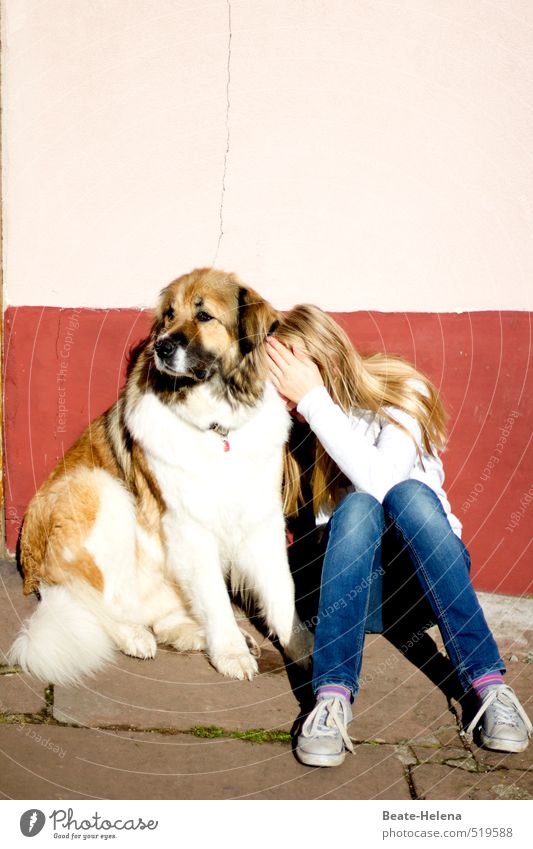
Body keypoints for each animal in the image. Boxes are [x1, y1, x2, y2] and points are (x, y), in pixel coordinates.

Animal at [8, 268, 312, 684]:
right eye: (169, 315)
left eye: (204, 316)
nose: (162, 347)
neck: (218, 425)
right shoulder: (189, 527)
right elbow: (216, 598)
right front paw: (231, 653)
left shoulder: (261, 520)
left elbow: (283, 596)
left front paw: (311, 655)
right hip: (98, 489)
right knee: (99, 602)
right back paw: (136, 635)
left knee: (163, 618)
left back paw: (199, 634)